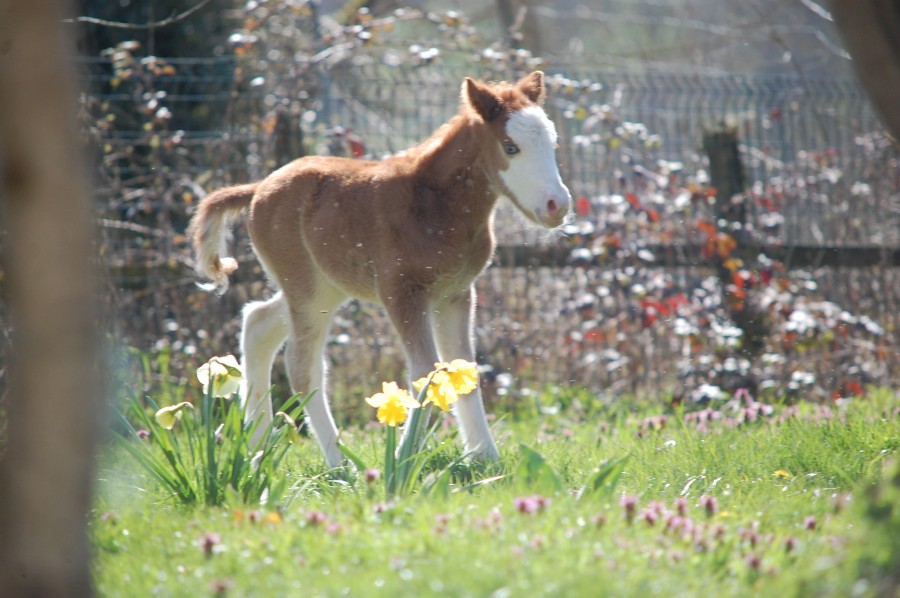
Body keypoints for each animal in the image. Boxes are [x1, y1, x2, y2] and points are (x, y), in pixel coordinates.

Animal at [189, 71, 568, 468]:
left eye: (553, 142)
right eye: (510, 147)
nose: (557, 205)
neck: (436, 203)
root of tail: (257, 187)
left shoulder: (456, 293)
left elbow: (465, 368)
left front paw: (485, 457)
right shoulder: (401, 291)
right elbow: (425, 369)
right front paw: (402, 460)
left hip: (325, 287)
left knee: (257, 323)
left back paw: (257, 447)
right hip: (305, 289)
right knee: (303, 367)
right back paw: (338, 463)